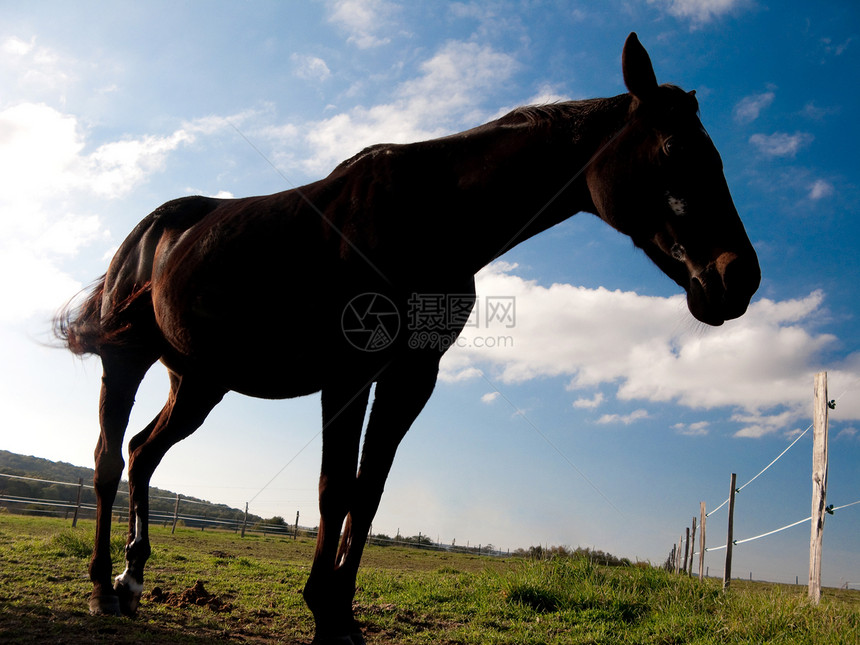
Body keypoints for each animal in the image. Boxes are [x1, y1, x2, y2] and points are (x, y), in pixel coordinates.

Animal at [55, 34, 760, 644]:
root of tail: (153, 232)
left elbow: (369, 491)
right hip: (128, 362)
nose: (738, 278)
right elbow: (335, 487)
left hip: (199, 382)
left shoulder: (411, 377)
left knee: (144, 453)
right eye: (673, 150)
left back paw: (133, 578)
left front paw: (342, 614)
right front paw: (323, 612)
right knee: (109, 459)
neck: (428, 215)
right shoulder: (346, 375)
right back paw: (101, 588)